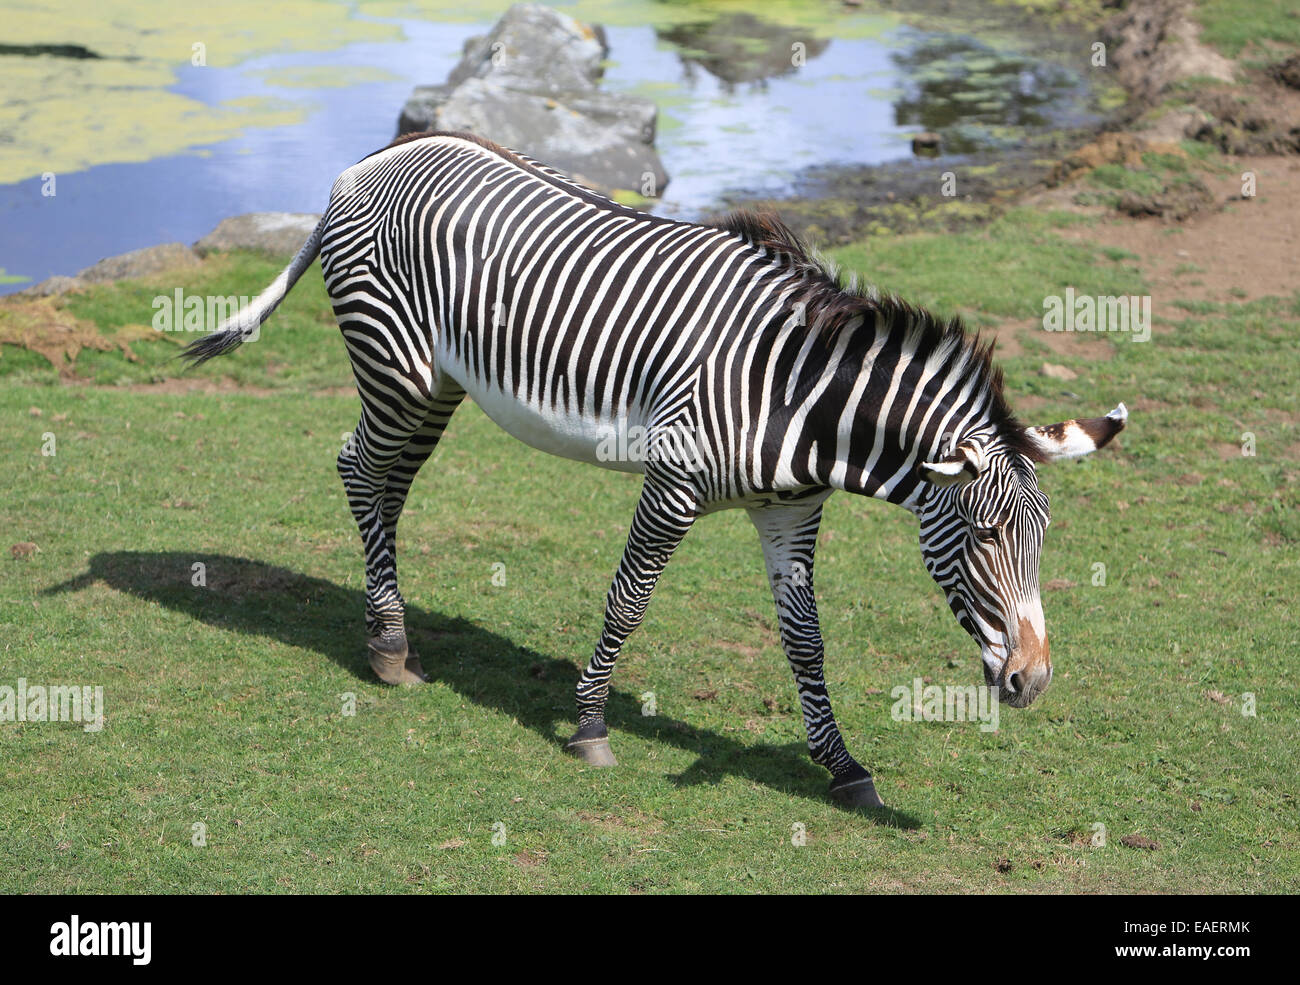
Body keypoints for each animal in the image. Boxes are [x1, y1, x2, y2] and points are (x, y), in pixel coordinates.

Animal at [183, 131, 1127, 809]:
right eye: (985, 534)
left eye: (1043, 538)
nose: (1034, 682)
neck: (799, 394)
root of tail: (372, 158)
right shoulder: (672, 486)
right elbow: (628, 599)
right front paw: (590, 724)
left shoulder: (791, 510)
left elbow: (806, 638)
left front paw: (842, 766)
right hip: (395, 365)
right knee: (355, 466)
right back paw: (385, 644)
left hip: (440, 382)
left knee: (387, 482)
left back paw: (393, 627)